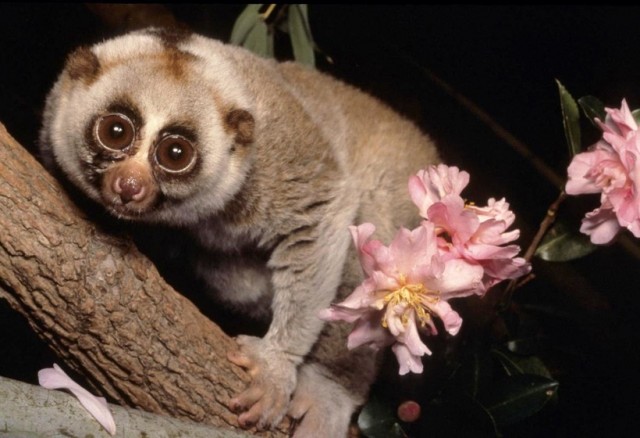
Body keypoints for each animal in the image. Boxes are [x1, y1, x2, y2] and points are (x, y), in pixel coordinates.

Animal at [39, 27, 440, 437]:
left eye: (175, 154)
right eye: (115, 131)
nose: (130, 185)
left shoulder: (279, 156)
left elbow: (323, 213)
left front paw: (275, 365)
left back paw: (330, 389)